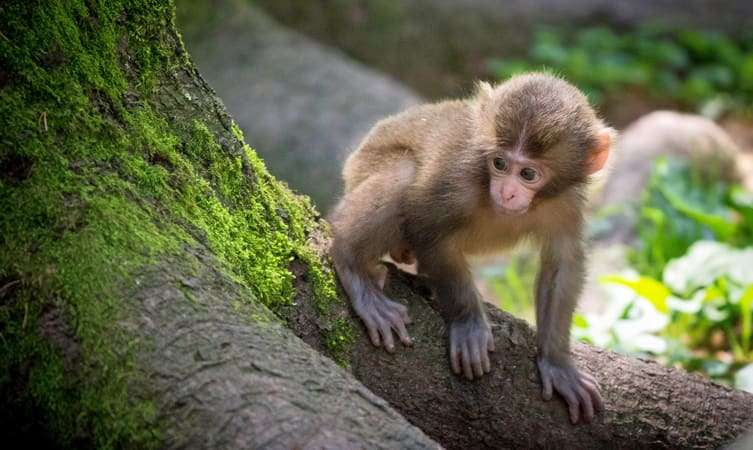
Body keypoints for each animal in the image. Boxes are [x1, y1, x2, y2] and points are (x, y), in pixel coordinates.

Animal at [329, 72, 612, 424]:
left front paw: (557, 362)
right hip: (366, 164)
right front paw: (469, 324)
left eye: (528, 173)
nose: (506, 192)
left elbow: (562, 264)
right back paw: (352, 265)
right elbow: (428, 227)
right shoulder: (456, 176)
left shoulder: (566, 201)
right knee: (404, 174)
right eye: (499, 163)